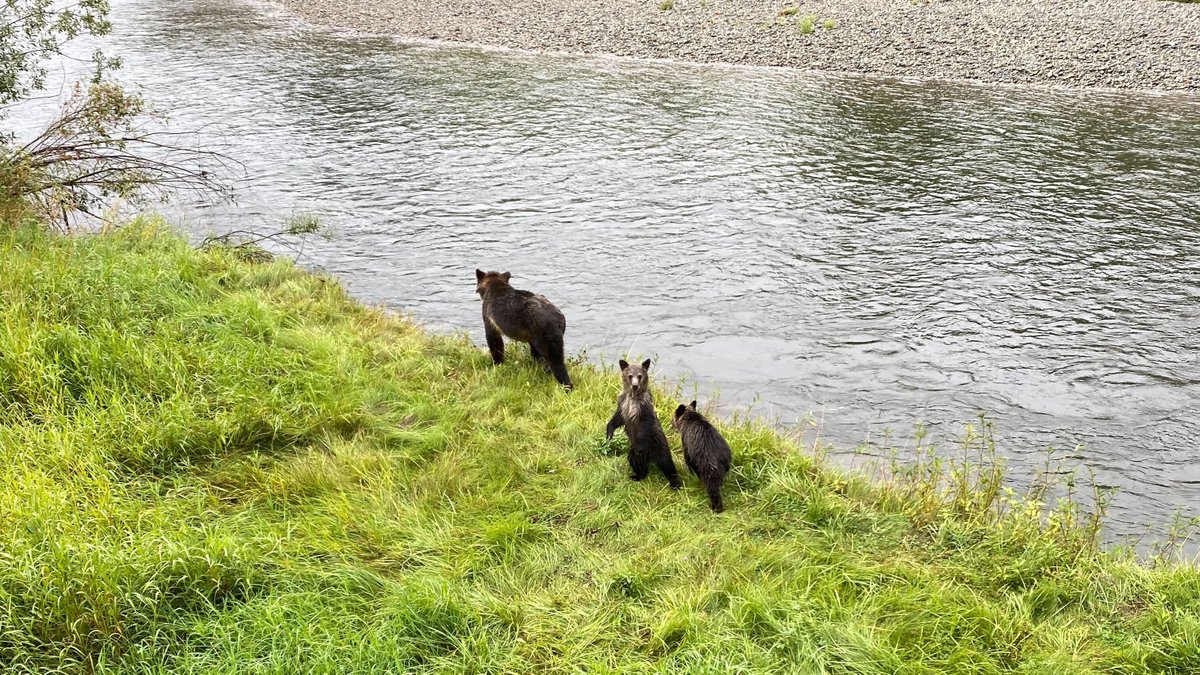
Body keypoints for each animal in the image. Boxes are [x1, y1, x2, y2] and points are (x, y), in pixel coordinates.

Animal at [605, 358, 682, 489]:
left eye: (640, 376)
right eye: (630, 375)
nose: (635, 386)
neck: (633, 397)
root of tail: (650, 458)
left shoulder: (643, 409)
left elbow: (644, 424)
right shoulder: (623, 403)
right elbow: (617, 418)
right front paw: (609, 434)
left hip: (658, 445)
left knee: (667, 463)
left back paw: (675, 483)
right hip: (634, 452)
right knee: (635, 461)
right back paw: (637, 475)